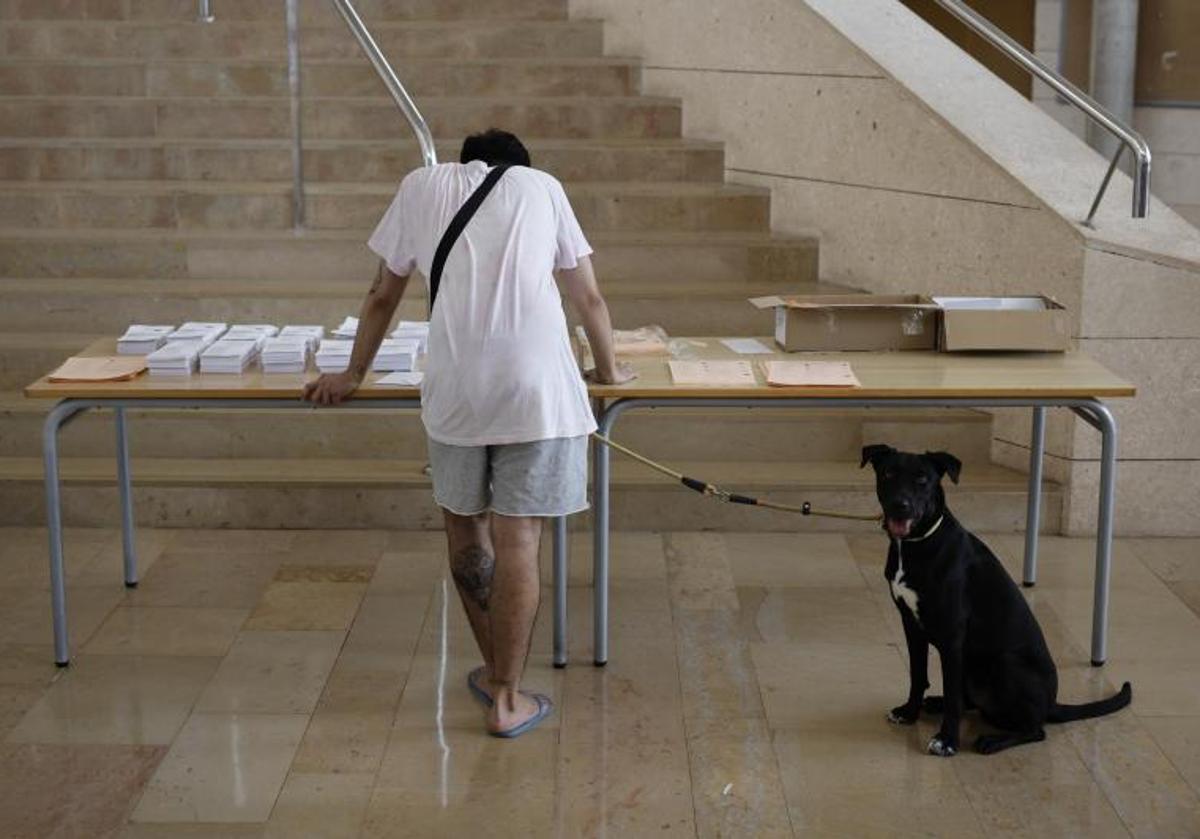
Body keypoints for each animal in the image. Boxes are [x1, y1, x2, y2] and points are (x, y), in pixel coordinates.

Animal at [859, 444, 1128, 758]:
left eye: (923, 479)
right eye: (888, 474)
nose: (900, 505)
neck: (916, 544)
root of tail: (1052, 704)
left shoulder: (952, 637)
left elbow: (952, 695)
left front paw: (947, 740)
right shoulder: (911, 626)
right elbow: (917, 675)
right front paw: (909, 712)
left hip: (1004, 663)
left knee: (1035, 730)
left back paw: (993, 741)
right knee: (973, 702)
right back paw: (936, 703)